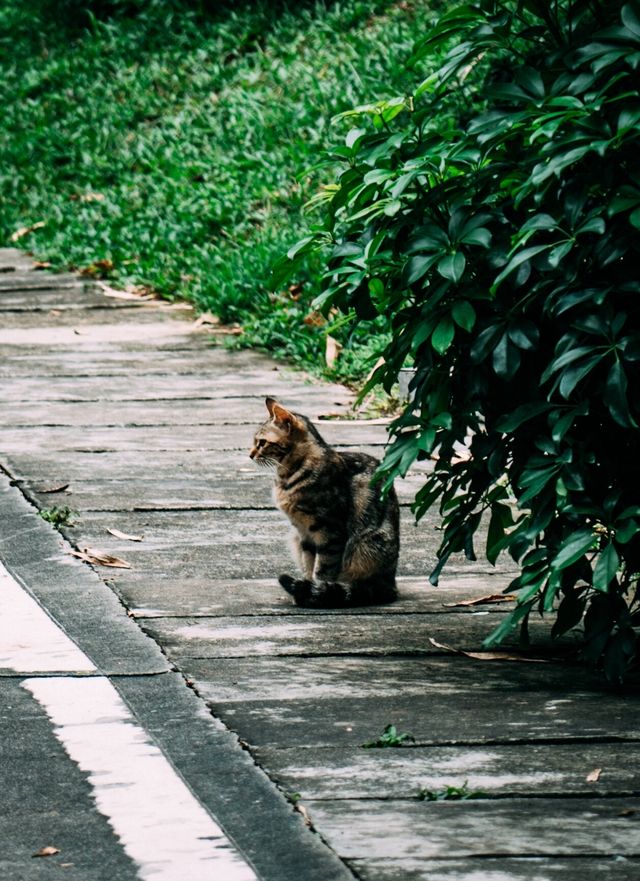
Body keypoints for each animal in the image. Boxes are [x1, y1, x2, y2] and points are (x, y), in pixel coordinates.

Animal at [250, 398, 400, 604]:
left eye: (262, 442)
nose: (250, 454)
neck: (288, 476)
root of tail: (392, 584)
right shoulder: (303, 534)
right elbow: (308, 565)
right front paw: (304, 589)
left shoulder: (330, 532)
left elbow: (323, 570)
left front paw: (316, 592)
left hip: (366, 545)